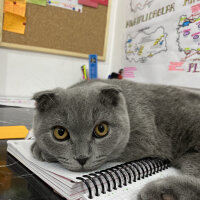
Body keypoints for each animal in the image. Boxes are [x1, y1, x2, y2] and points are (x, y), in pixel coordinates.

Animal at [30, 79, 200, 200]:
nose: (82, 158)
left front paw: (39, 150)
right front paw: (38, 146)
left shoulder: (144, 138)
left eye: (101, 129)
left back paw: (163, 191)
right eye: (60, 133)